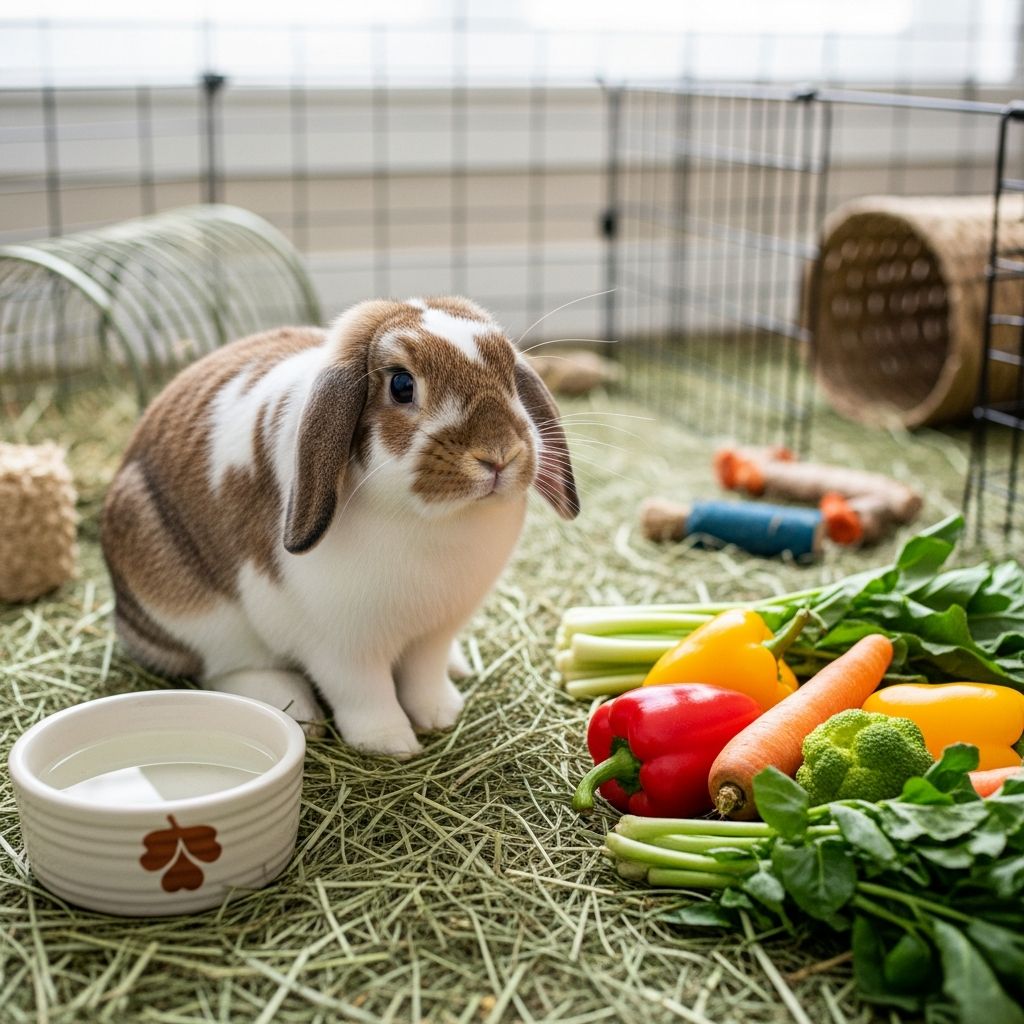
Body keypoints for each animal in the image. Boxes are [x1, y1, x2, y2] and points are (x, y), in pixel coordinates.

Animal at [101, 297, 579, 758]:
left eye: (510, 376)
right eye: (402, 385)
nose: (498, 454)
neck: (436, 520)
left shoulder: (434, 633)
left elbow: (425, 676)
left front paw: (442, 715)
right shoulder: (341, 648)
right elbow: (366, 695)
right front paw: (390, 744)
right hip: (195, 611)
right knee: (227, 668)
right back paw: (294, 708)